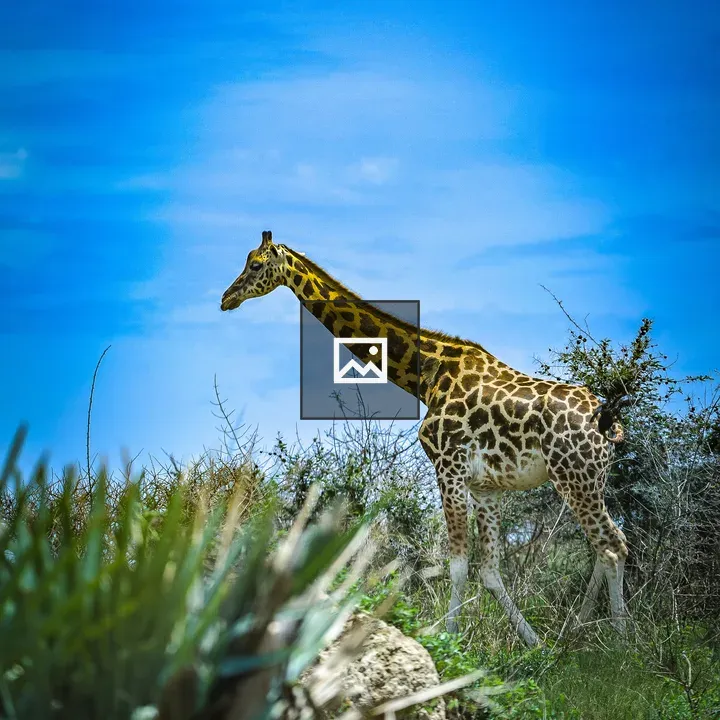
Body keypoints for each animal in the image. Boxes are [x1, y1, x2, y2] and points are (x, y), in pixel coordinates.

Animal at [220, 231, 629, 647]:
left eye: (255, 265)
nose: (226, 298)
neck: (428, 375)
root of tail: (608, 421)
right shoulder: (485, 486)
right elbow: (490, 570)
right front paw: (536, 645)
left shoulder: (448, 467)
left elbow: (458, 564)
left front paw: (449, 639)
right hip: (592, 477)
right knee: (604, 546)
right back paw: (577, 629)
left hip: (574, 475)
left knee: (613, 547)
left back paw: (622, 642)